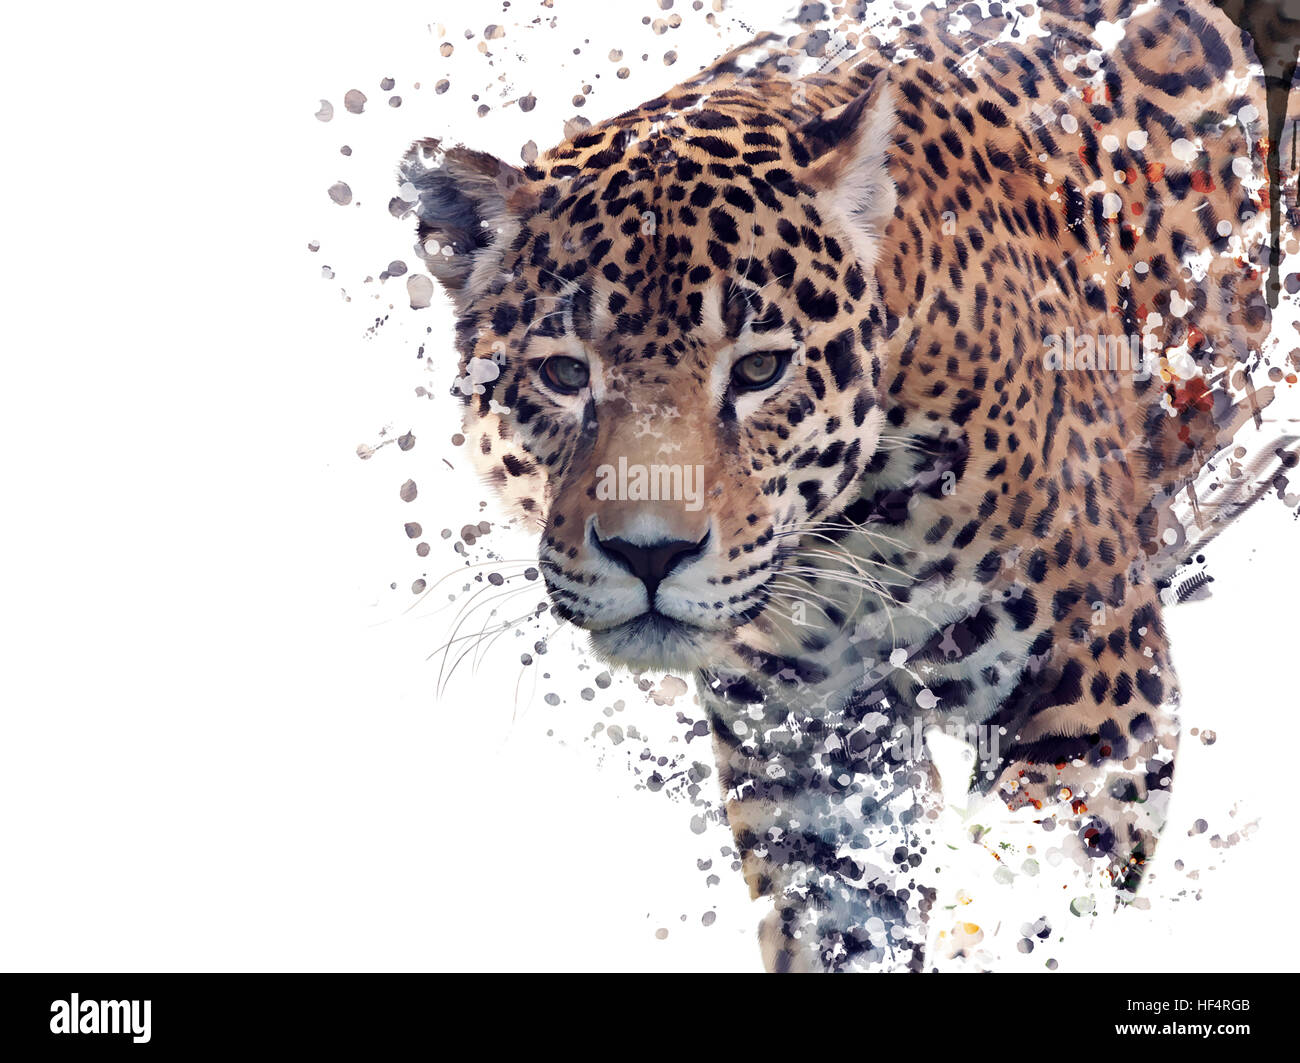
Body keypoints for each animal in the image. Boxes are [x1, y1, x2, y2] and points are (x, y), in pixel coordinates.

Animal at [391, 0, 1297, 971]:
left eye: (759, 369)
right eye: (563, 373)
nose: (650, 554)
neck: (846, 545)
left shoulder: (1099, 699)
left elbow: (1020, 909)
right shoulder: (814, 766)